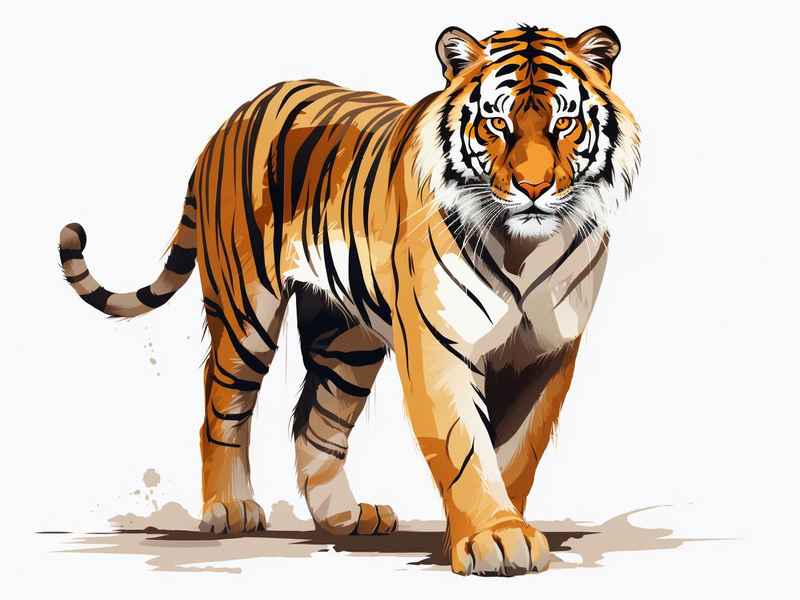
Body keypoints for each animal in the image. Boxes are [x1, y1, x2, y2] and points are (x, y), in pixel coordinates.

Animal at [58, 24, 640, 576]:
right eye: (496, 124)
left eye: (564, 123)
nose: (533, 188)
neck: (524, 247)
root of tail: (234, 117)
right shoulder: (440, 344)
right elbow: (465, 445)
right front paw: (495, 538)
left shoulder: (548, 351)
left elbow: (517, 454)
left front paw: (496, 530)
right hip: (246, 315)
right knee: (220, 406)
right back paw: (229, 509)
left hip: (348, 339)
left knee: (316, 422)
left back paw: (343, 516)